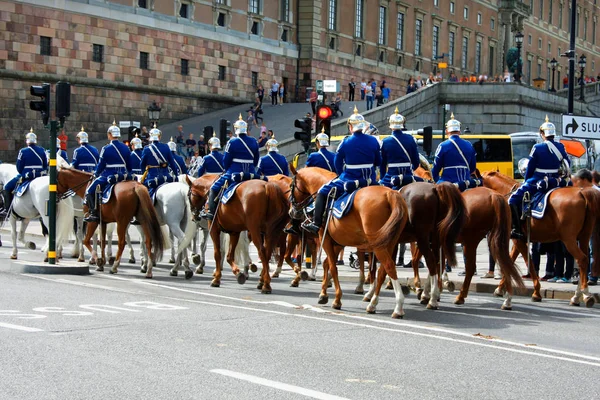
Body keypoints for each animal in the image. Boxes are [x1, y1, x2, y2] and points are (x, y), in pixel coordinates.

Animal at [290, 167, 410, 318]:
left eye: (291, 186)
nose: (292, 212)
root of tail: (390, 193)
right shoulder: (338, 243)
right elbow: (327, 264)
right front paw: (323, 294)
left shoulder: (325, 239)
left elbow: (333, 267)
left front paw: (337, 299)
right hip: (390, 243)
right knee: (383, 270)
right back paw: (373, 303)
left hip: (379, 245)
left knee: (388, 266)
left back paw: (398, 307)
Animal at [480, 170, 600, 306]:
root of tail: (582, 192)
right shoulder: (519, 240)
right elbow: (510, 261)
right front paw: (500, 289)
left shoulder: (518, 240)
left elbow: (529, 263)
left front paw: (536, 292)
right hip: (584, 237)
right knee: (584, 260)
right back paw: (577, 296)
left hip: (569, 240)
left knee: (582, 259)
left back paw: (585, 294)